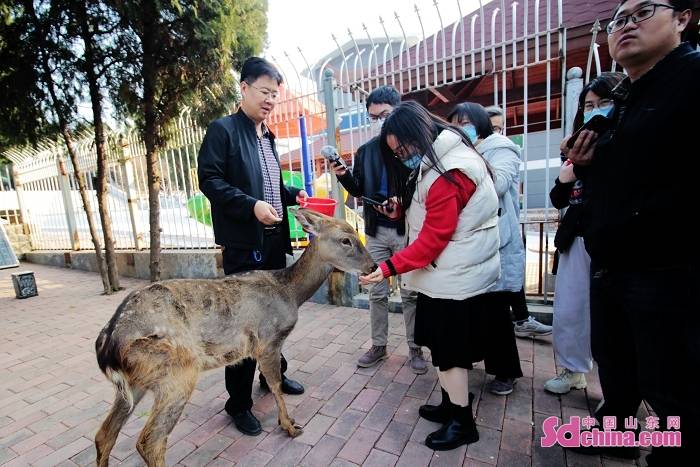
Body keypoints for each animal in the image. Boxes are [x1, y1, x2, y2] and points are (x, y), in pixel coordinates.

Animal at [94, 209, 378, 467]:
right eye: (345, 239)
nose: (374, 266)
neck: (288, 292)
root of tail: (107, 345)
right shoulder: (267, 339)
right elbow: (275, 384)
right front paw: (290, 426)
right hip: (176, 371)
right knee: (150, 440)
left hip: (135, 382)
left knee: (104, 434)